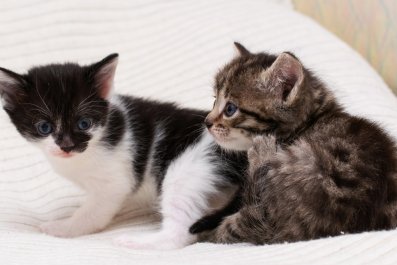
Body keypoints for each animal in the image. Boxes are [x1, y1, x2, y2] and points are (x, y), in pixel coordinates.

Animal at [0, 53, 246, 248]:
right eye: (44, 127)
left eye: (84, 124)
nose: (67, 146)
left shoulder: (114, 184)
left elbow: (93, 212)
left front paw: (63, 227)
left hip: (188, 171)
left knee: (181, 232)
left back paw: (136, 242)